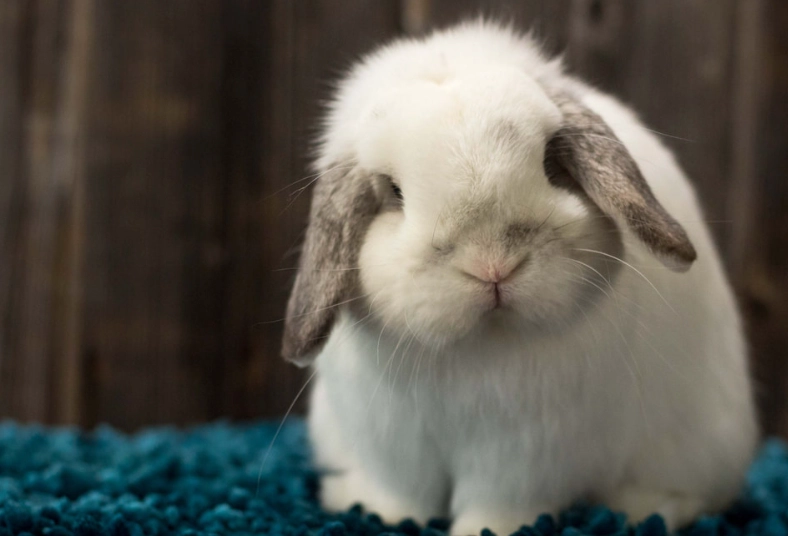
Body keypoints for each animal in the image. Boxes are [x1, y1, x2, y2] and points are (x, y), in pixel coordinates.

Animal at [282, 20, 758, 536]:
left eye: (550, 163)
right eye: (393, 192)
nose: (493, 266)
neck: (481, 348)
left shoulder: (525, 456)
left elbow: (500, 504)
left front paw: (484, 530)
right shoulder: (392, 445)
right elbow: (403, 494)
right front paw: (378, 514)